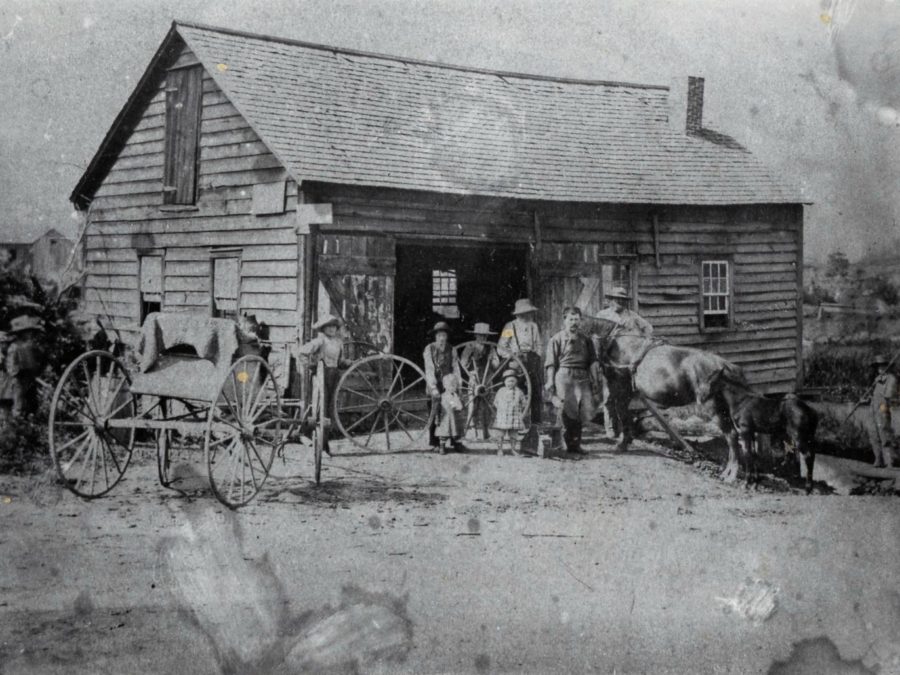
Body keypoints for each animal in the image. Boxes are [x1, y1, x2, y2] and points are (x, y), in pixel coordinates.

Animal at [584, 316, 744, 480]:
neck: (615, 342)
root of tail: (724, 364)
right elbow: (626, 415)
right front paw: (626, 440)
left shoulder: (622, 388)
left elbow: (623, 414)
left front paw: (622, 444)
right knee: (734, 435)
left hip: (712, 406)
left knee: (731, 435)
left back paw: (731, 474)